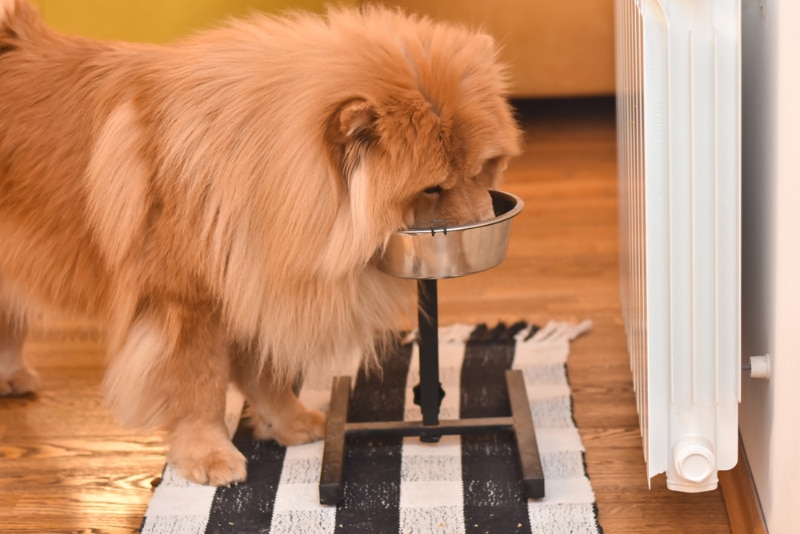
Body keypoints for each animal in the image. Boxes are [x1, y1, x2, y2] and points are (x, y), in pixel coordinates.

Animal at [0, 0, 520, 486]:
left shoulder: (255, 278)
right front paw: (208, 456)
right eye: (432, 188)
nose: (482, 223)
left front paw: (291, 424)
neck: (257, 168)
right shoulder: (187, 303)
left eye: (482, 169)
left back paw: (12, 377)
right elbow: (200, 385)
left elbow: (264, 374)